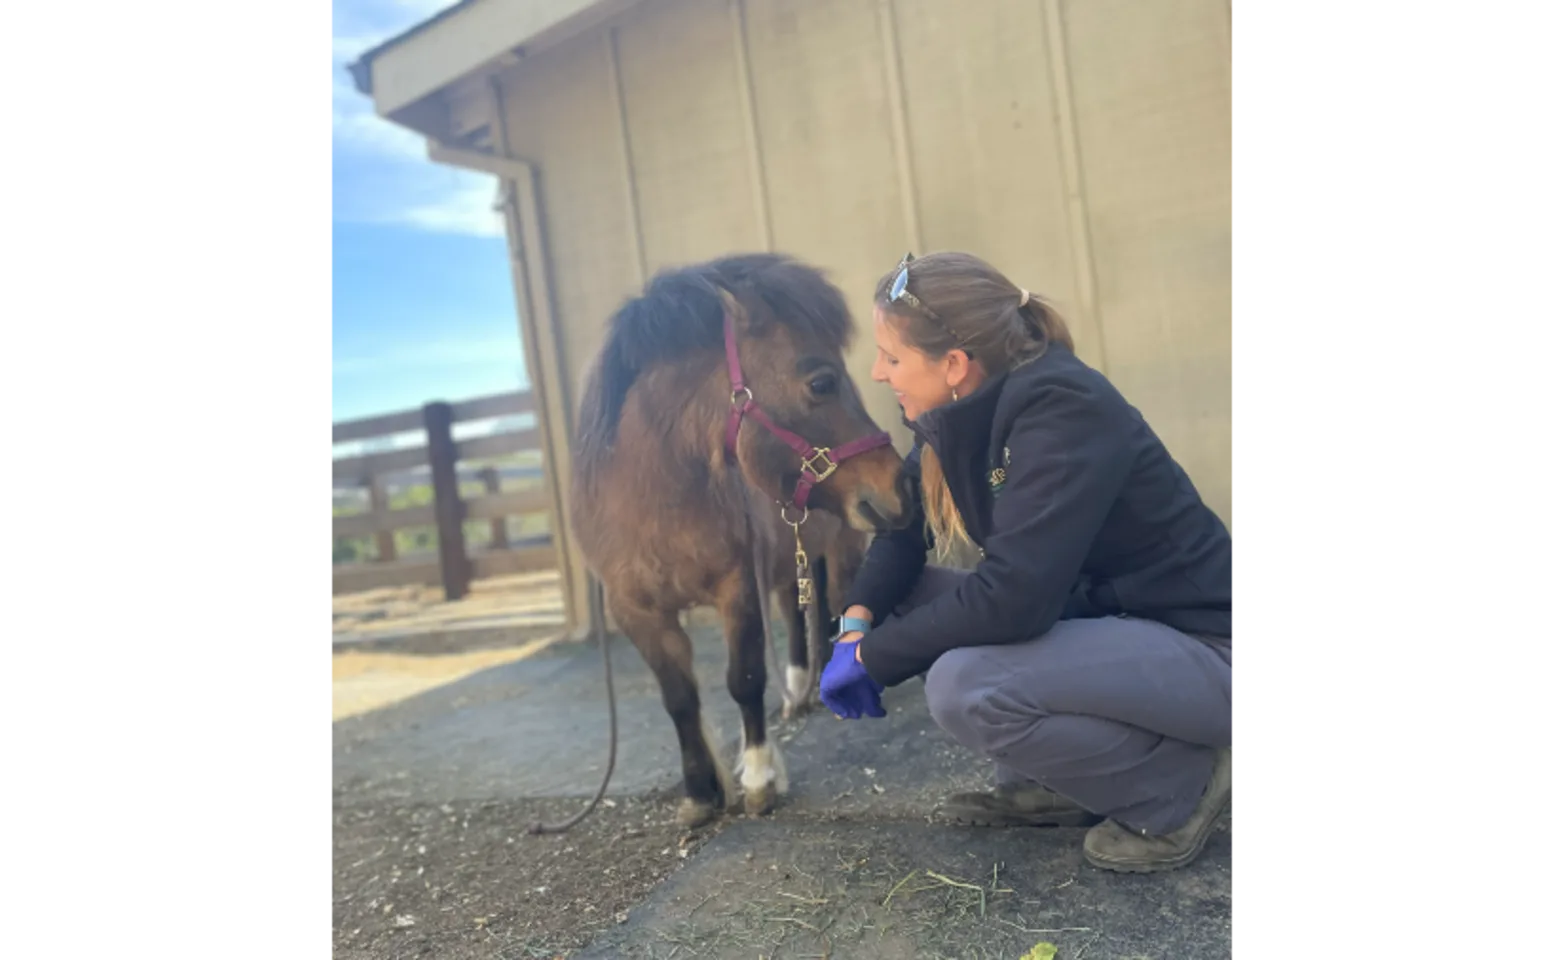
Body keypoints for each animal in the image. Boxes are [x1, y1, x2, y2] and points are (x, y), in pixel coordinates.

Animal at [569, 252, 915, 828]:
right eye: (821, 382)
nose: (901, 485)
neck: (651, 504)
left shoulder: (737, 587)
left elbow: (744, 677)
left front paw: (757, 778)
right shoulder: (636, 611)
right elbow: (679, 698)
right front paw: (699, 794)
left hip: (840, 546)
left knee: (835, 604)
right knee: (799, 614)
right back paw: (798, 690)